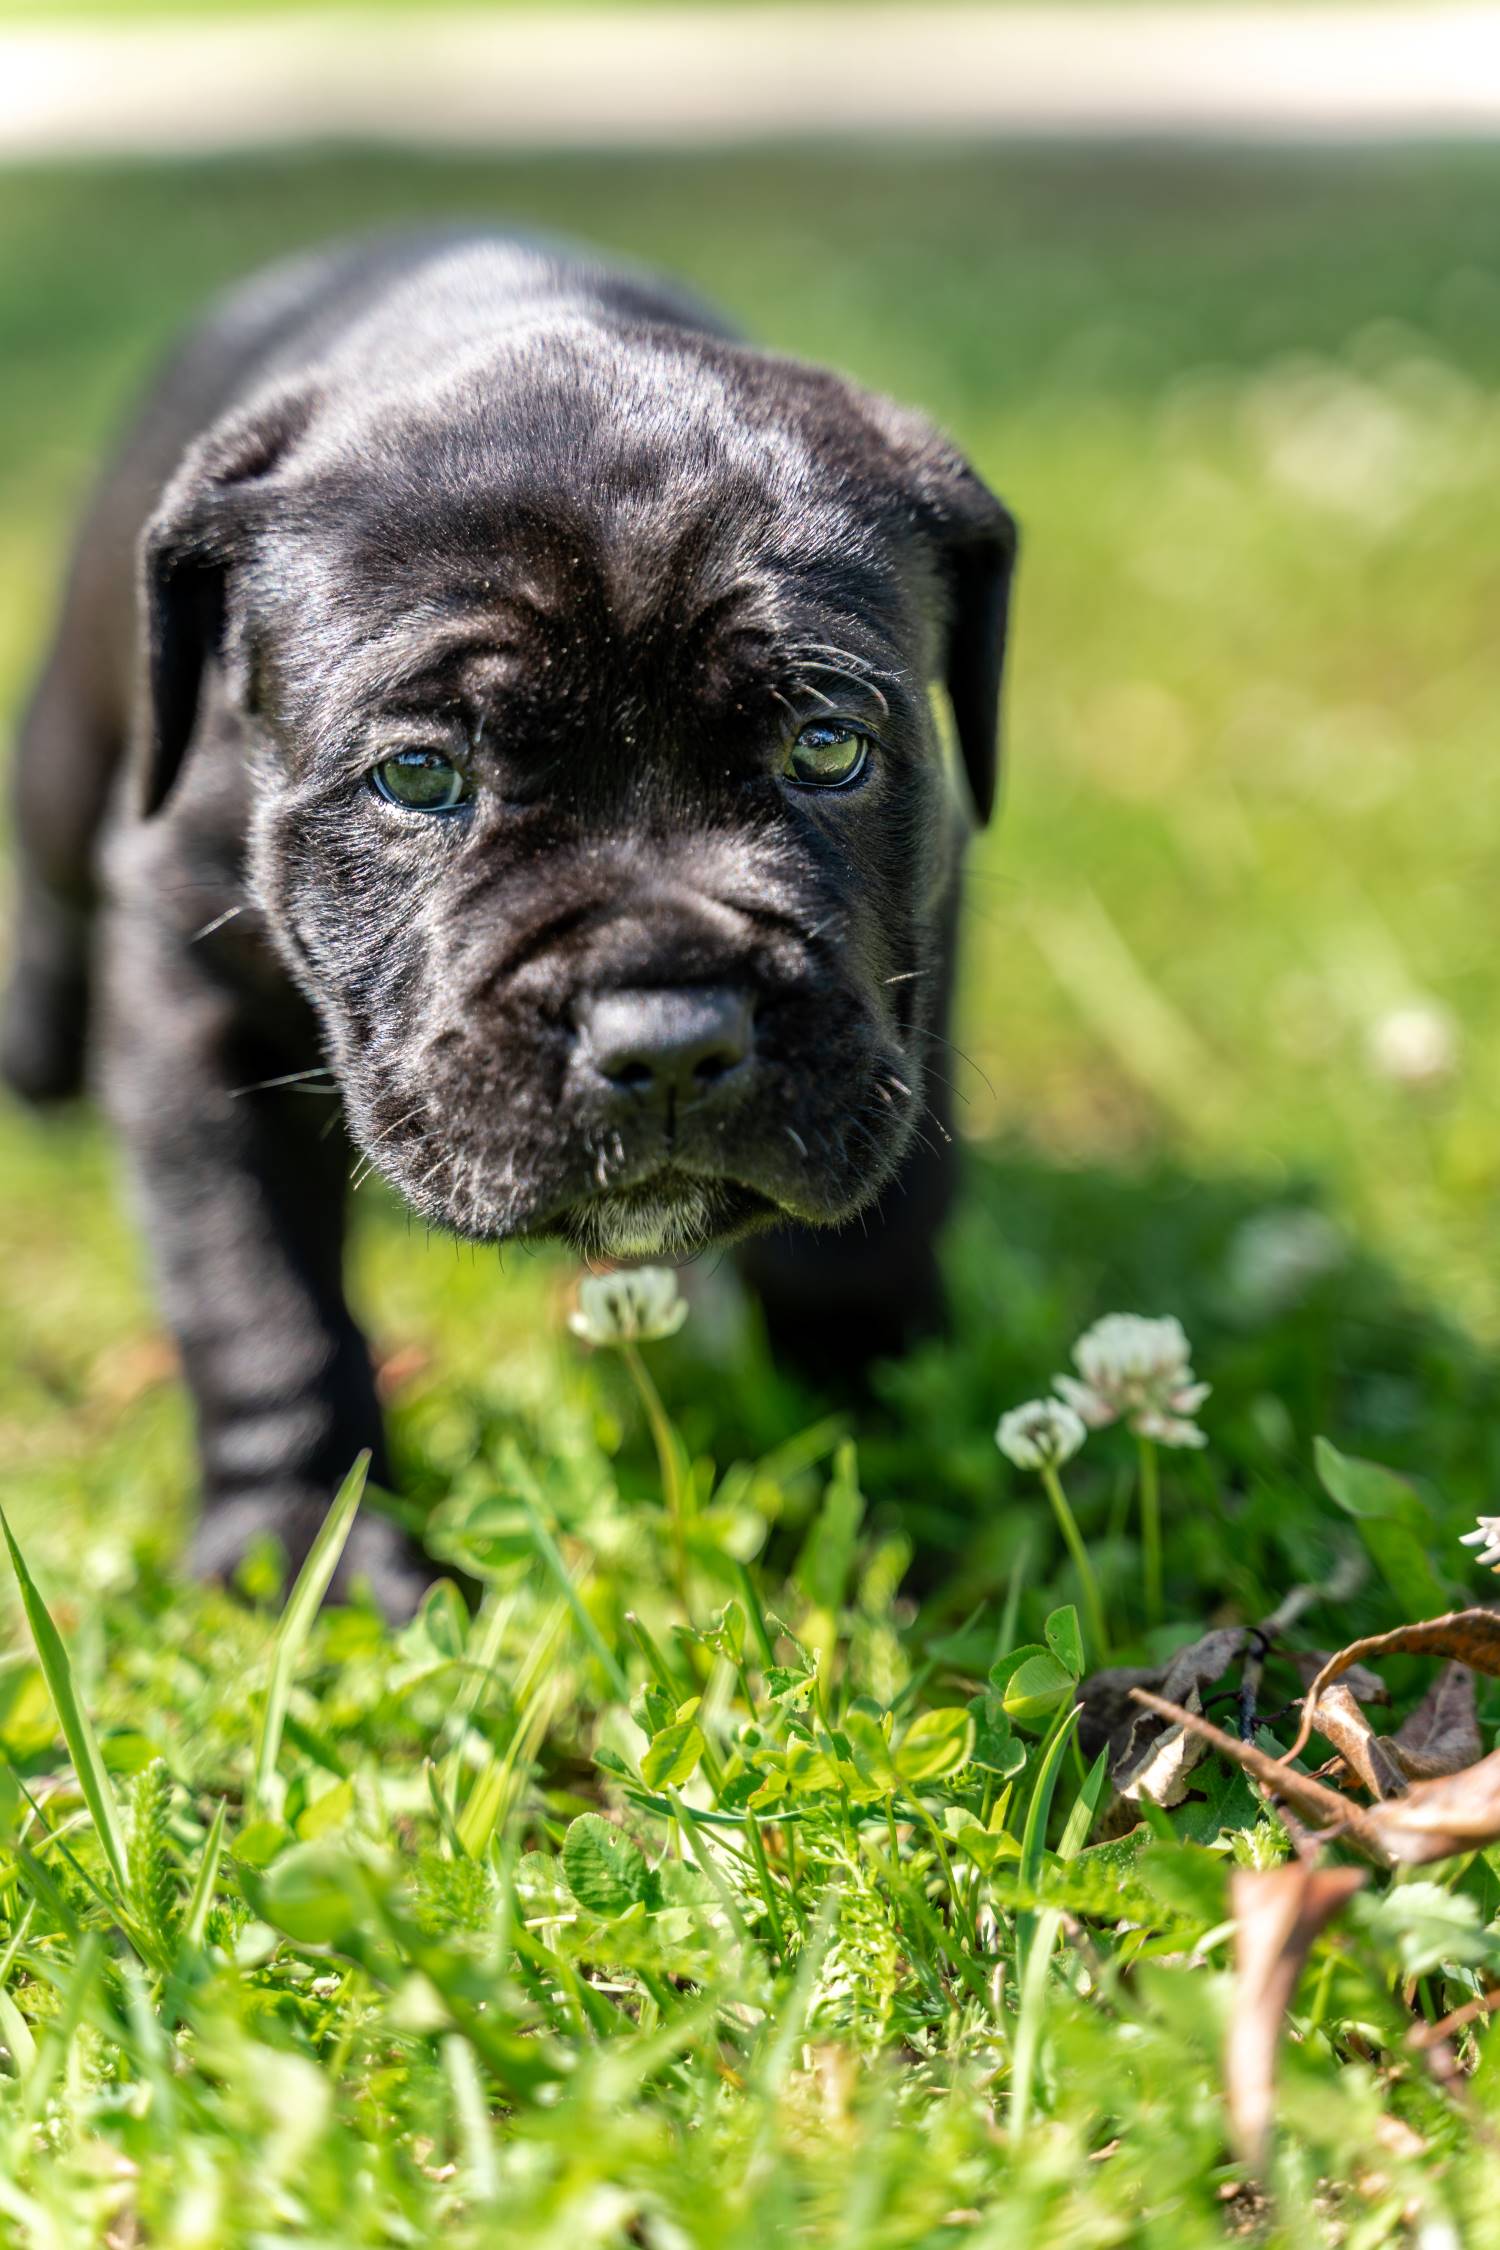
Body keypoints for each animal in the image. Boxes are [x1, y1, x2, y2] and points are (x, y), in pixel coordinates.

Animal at [2, 228, 1020, 1611]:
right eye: (420, 775)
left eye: (826, 747)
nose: (668, 1040)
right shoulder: (184, 987)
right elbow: (254, 1282)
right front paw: (306, 1549)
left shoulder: (912, 970)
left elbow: (874, 1221)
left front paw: (880, 1449)